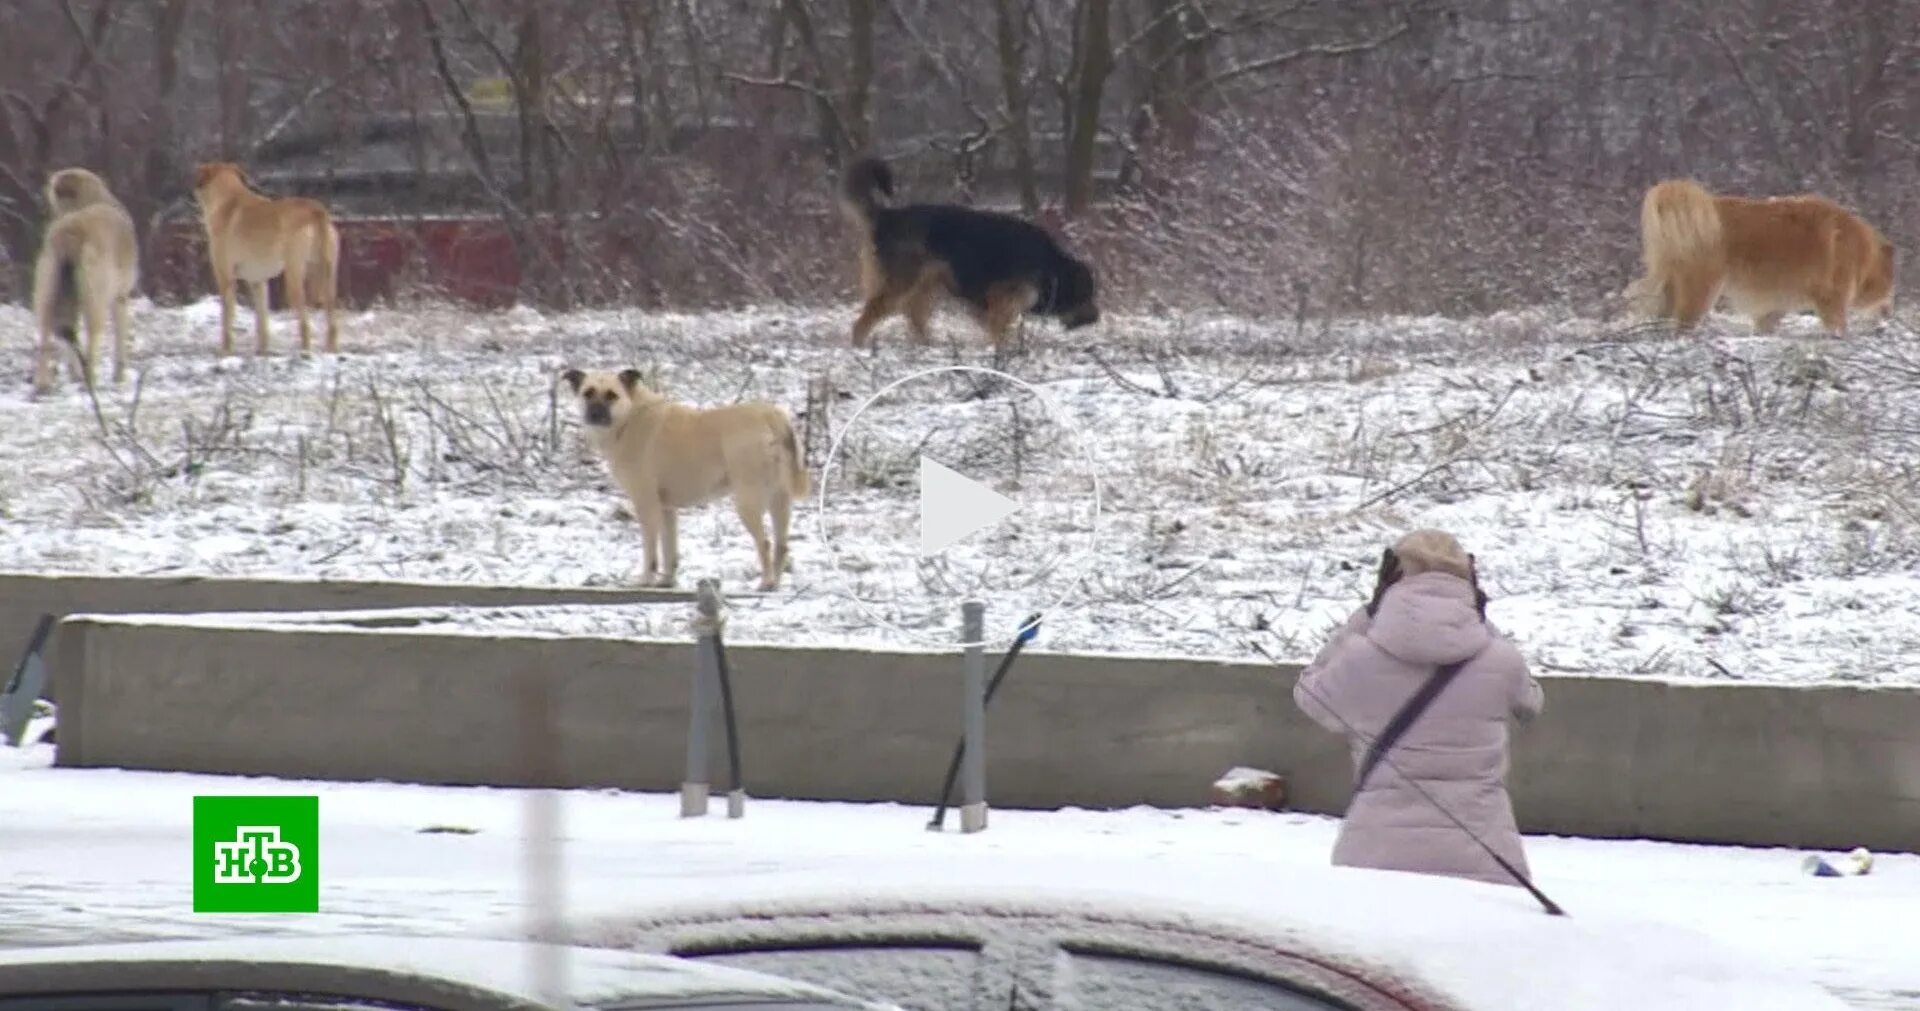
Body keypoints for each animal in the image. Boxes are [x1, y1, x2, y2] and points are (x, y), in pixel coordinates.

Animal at [30, 167, 138, 393]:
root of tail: (71, 231)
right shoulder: (120, 297)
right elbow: (120, 336)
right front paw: (119, 376)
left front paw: (73, 373)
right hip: (96, 299)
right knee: (92, 338)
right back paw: (90, 379)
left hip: (46, 292)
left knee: (45, 333)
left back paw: (43, 382)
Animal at [191, 161, 341, 356]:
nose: (192, 193)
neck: (228, 200)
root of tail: (315, 208)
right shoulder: (258, 282)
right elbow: (261, 323)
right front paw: (262, 351)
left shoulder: (225, 279)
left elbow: (227, 319)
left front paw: (225, 351)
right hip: (328, 277)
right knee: (332, 324)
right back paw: (331, 351)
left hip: (294, 278)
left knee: (305, 324)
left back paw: (305, 352)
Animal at [564, 366, 814, 590]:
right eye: (588, 393)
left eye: (612, 395)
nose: (595, 413)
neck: (628, 417)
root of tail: (771, 415)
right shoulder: (666, 509)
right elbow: (669, 549)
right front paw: (667, 582)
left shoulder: (646, 504)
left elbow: (651, 551)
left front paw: (646, 580)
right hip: (780, 501)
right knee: (782, 545)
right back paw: (776, 584)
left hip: (747, 502)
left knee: (765, 543)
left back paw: (766, 583)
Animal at [837, 156, 1098, 351]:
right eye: (1088, 296)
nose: (1096, 318)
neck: (1052, 267)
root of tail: (887, 216)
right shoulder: (1002, 299)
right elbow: (999, 330)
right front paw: (1001, 353)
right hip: (901, 284)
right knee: (868, 317)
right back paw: (859, 346)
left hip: (927, 283)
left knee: (914, 316)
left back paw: (928, 346)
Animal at [1628, 180, 1896, 337]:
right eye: (1891, 287)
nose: (1888, 314)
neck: (1863, 253)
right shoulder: (1831, 299)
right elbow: (1838, 327)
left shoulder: (1774, 308)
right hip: (1702, 289)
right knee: (1683, 323)